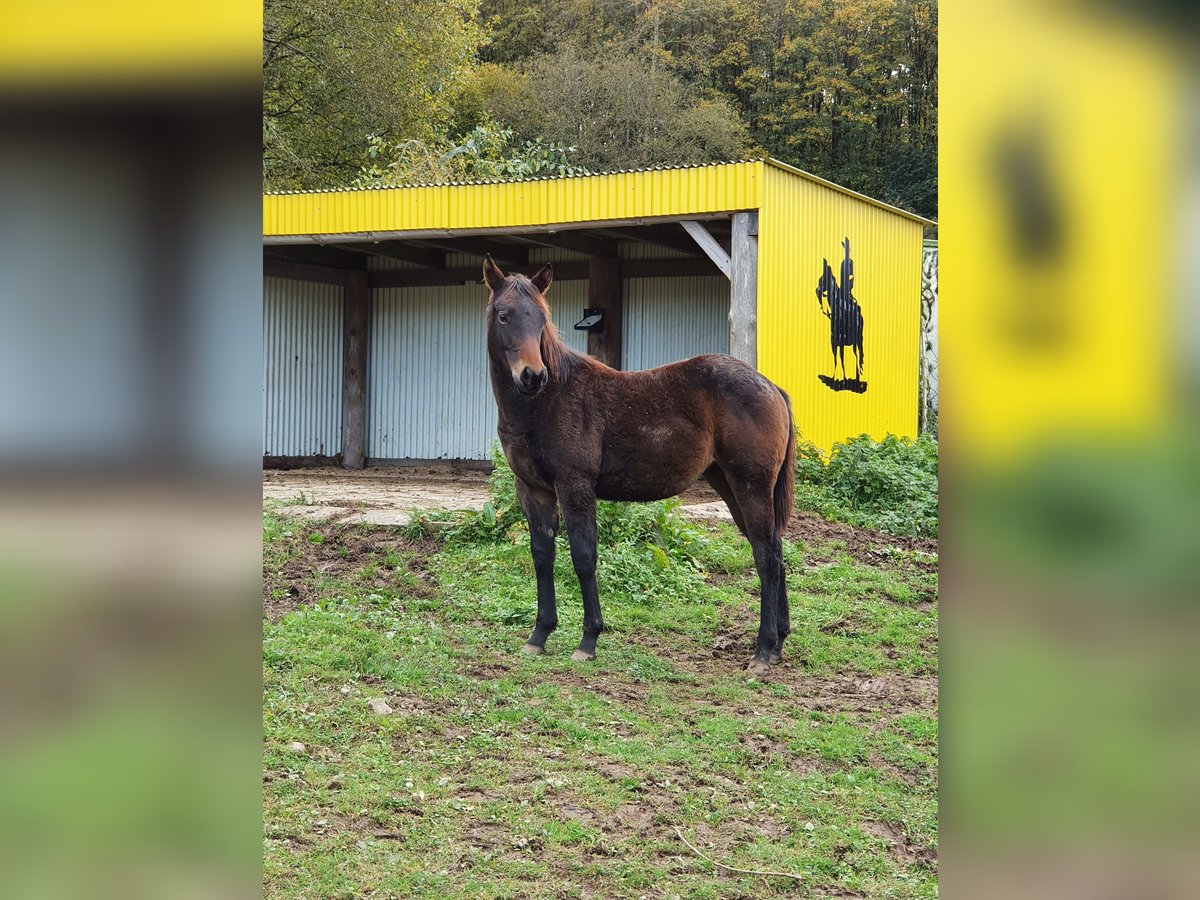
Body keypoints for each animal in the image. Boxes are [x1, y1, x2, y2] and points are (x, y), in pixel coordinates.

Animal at [477, 254, 796, 676]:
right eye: (504, 315)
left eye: (541, 318)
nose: (533, 375)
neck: (547, 400)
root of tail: (770, 386)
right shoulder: (533, 490)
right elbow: (542, 556)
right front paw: (539, 636)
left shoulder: (575, 486)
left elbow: (583, 556)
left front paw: (588, 641)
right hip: (732, 487)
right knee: (774, 548)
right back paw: (777, 645)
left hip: (751, 485)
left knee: (766, 556)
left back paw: (761, 651)